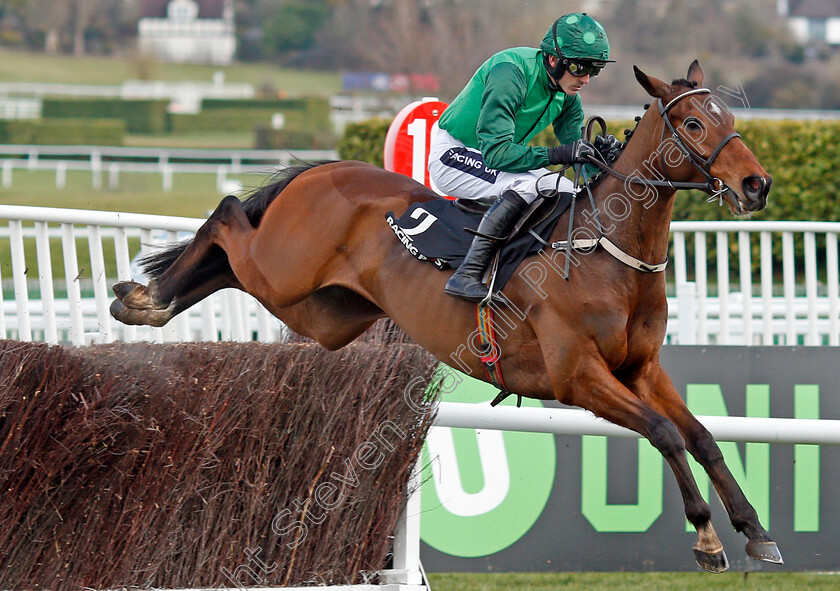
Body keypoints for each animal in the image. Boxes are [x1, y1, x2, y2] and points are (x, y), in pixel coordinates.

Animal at [111, 61, 780, 572]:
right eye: (693, 122)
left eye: (731, 119)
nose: (758, 185)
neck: (604, 250)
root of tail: (326, 169)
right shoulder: (578, 378)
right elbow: (665, 434)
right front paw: (707, 536)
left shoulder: (641, 370)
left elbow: (703, 437)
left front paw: (755, 530)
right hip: (284, 269)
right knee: (227, 214)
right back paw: (147, 298)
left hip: (322, 314)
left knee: (227, 261)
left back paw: (146, 299)